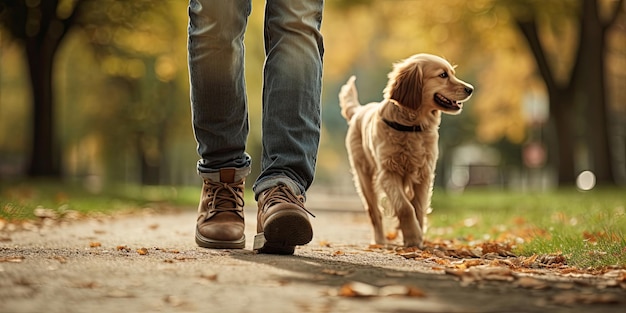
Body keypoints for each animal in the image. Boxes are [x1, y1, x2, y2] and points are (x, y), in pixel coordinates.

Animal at [338, 54, 470, 249]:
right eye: (443, 75)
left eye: (452, 73)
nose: (471, 89)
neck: (411, 126)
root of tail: (359, 110)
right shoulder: (388, 172)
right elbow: (404, 207)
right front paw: (413, 237)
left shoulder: (424, 173)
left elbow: (418, 207)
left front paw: (417, 236)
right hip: (364, 176)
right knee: (374, 212)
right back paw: (379, 240)